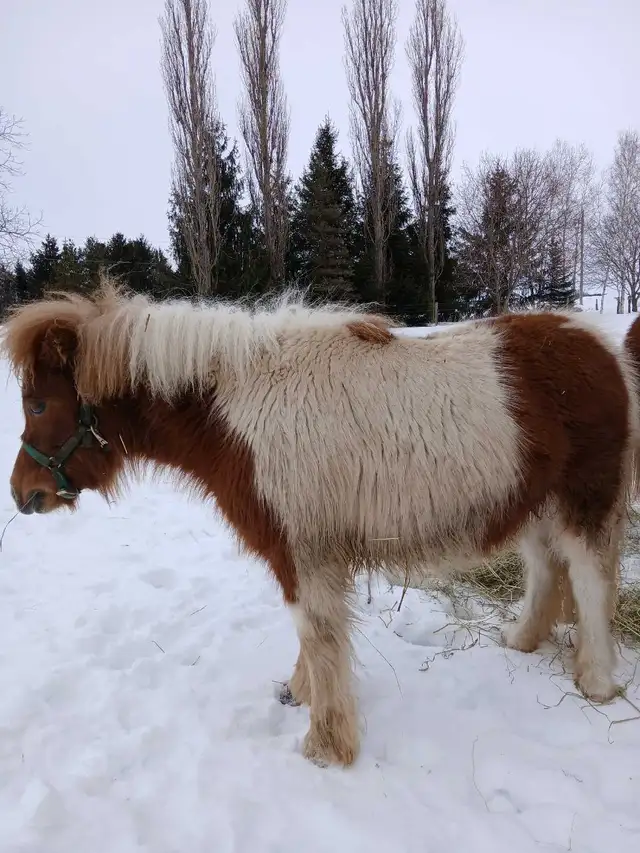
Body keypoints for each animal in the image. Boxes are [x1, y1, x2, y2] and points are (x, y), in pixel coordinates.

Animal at [3, 279, 640, 768]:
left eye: (38, 405)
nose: (22, 493)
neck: (236, 419)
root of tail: (603, 348)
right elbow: (311, 638)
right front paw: (300, 694)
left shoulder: (303, 553)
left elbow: (319, 635)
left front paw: (326, 746)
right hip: (534, 505)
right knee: (548, 571)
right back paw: (523, 640)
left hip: (585, 502)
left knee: (591, 581)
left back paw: (597, 683)